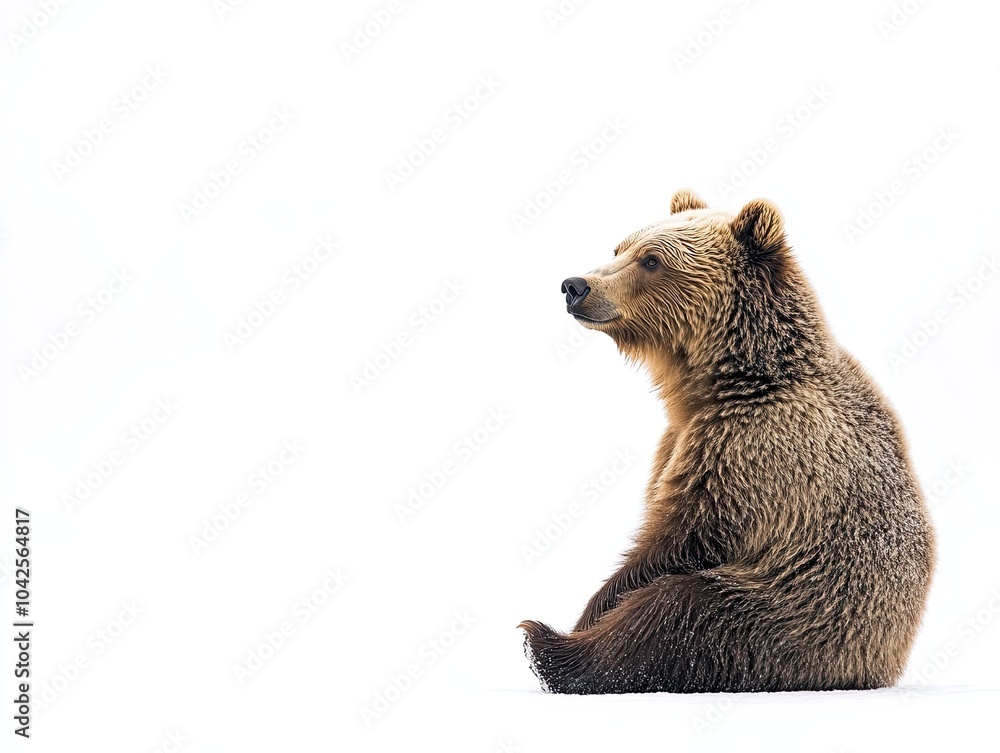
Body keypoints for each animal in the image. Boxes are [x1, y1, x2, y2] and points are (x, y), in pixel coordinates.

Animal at [518, 189, 935, 694]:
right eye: (619, 247)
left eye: (652, 260)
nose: (575, 285)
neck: (721, 381)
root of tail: (885, 667)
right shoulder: (677, 440)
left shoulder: (753, 445)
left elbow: (679, 539)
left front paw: (587, 614)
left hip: (796, 617)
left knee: (677, 610)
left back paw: (551, 647)